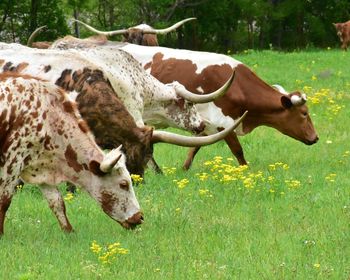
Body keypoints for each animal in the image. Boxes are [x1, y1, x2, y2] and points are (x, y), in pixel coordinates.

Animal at [0, 72, 144, 234]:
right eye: (123, 184)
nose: (139, 217)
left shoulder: (42, 169)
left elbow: (57, 203)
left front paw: (68, 231)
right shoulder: (12, 163)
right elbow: (4, 201)